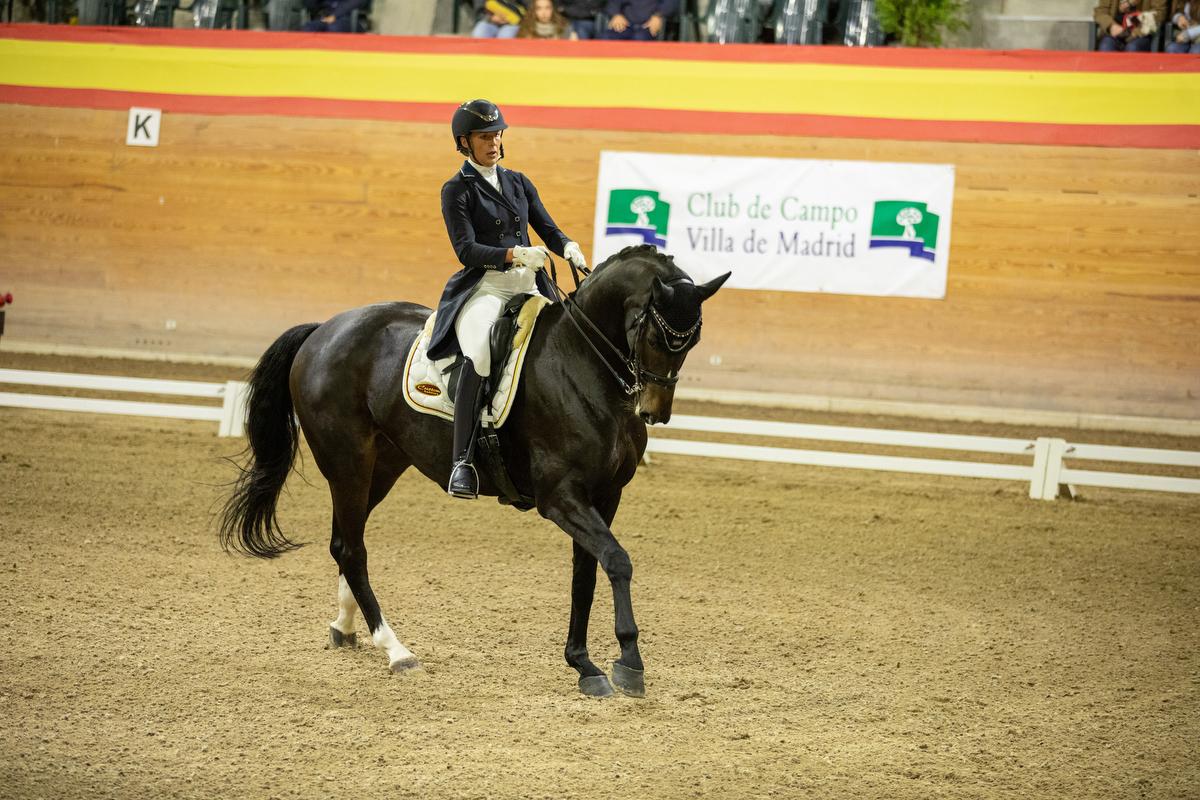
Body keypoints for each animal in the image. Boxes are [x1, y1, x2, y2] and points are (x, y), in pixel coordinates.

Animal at [220, 247, 734, 695]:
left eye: (693, 341)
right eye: (658, 336)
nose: (654, 412)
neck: (583, 365)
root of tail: (324, 329)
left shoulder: (605, 496)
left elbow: (587, 573)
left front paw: (583, 664)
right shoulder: (560, 498)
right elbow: (617, 560)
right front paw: (628, 661)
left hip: (381, 466)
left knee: (343, 542)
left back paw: (345, 627)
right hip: (348, 463)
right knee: (352, 549)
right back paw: (396, 650)